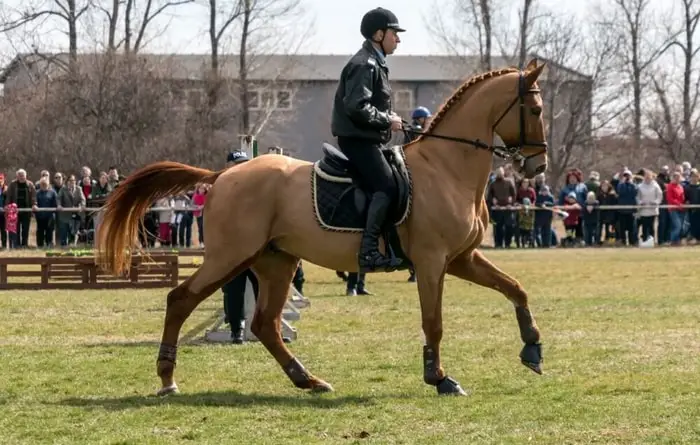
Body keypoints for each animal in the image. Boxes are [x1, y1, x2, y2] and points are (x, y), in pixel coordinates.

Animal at [96, 59, 549, 397]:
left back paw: (307, 379)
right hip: (230, 257)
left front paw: (532, 349)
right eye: (536, 110)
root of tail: (223, 175)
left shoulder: (461, 258)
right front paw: (439, 378)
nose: (538, 166)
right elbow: (433, 320)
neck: (448, 167)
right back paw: (167, 378)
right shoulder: (433, 261)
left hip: (274, 261)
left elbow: (516, 288)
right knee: (181, 301)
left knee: (265, 324)